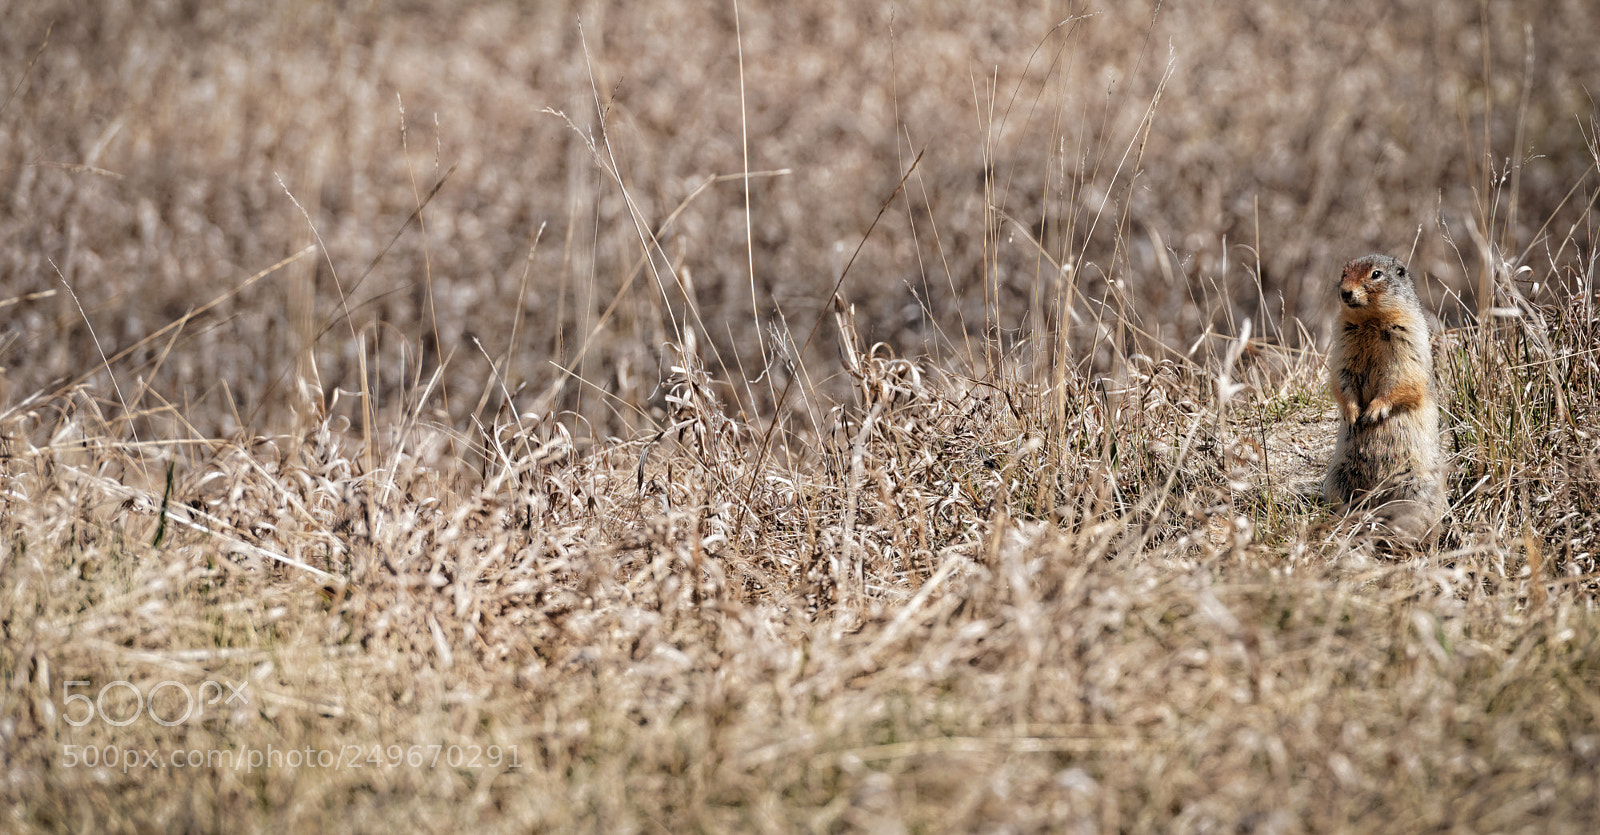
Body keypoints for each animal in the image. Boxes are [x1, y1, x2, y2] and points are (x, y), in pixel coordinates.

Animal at [1323, 254, 1446, 545]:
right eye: (1343, 273)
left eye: (1376, 274)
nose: (1345, 292)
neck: (1370, 321)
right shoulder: (1343, 342)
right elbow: (1341, 378)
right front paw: (1352, 414)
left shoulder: (1407, 338)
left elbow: (1402, 379)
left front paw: (1373, 412)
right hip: (1338, 478)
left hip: (1416, 489)